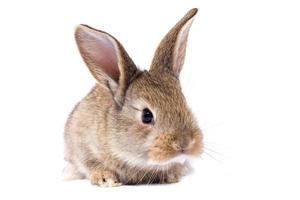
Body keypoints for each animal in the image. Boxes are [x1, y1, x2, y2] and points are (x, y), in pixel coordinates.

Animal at [63, 7, 204, 186]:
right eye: (146, 115)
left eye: (185, 104)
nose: (185, 143)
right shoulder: (81, 144)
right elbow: (89, 163)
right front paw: (105, 178)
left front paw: (173, 174)